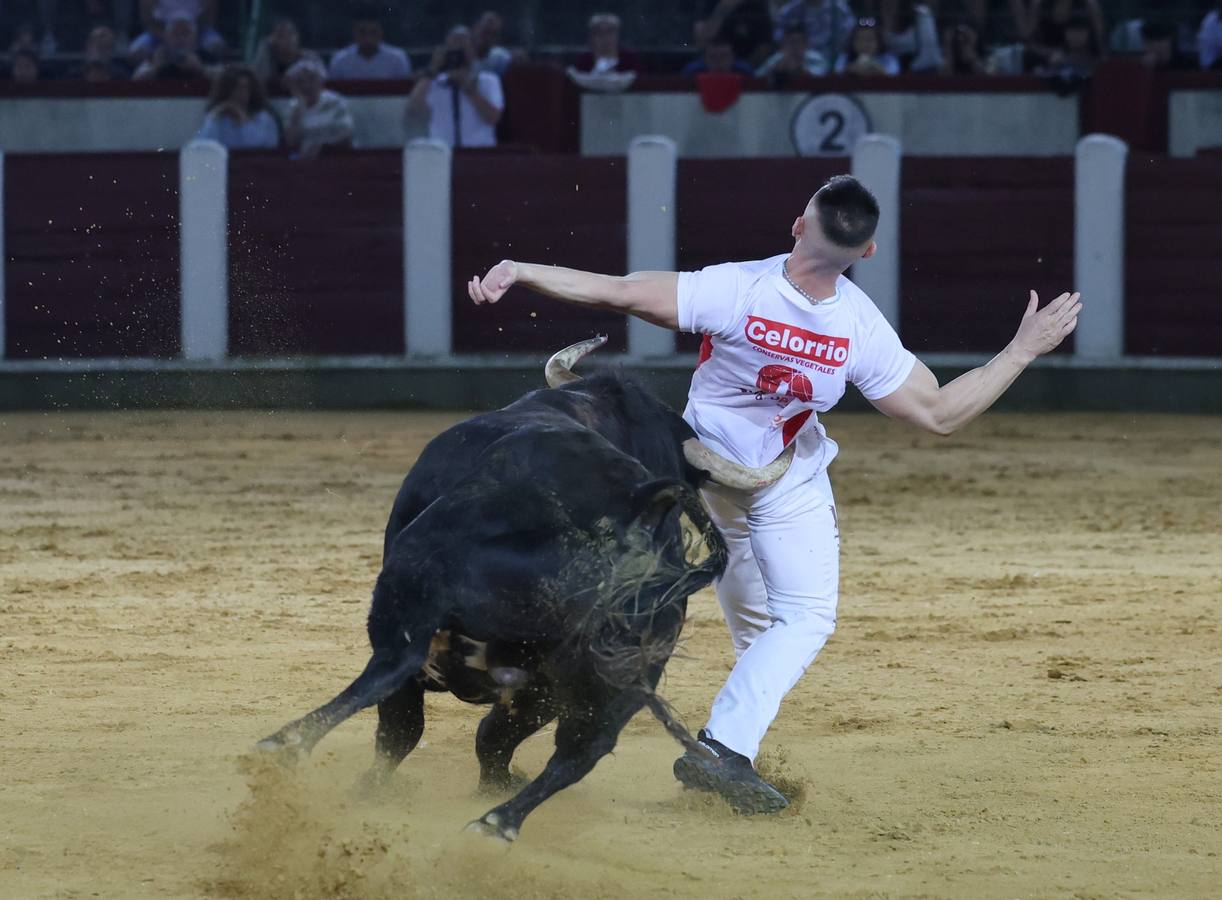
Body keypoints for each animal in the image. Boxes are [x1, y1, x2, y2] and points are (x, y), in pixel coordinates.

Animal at [257, 337, 791, 841]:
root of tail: (634, 498)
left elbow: (434, 732)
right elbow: (452, 734)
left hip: (438, 592)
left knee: (403, 674)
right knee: (566, 743)